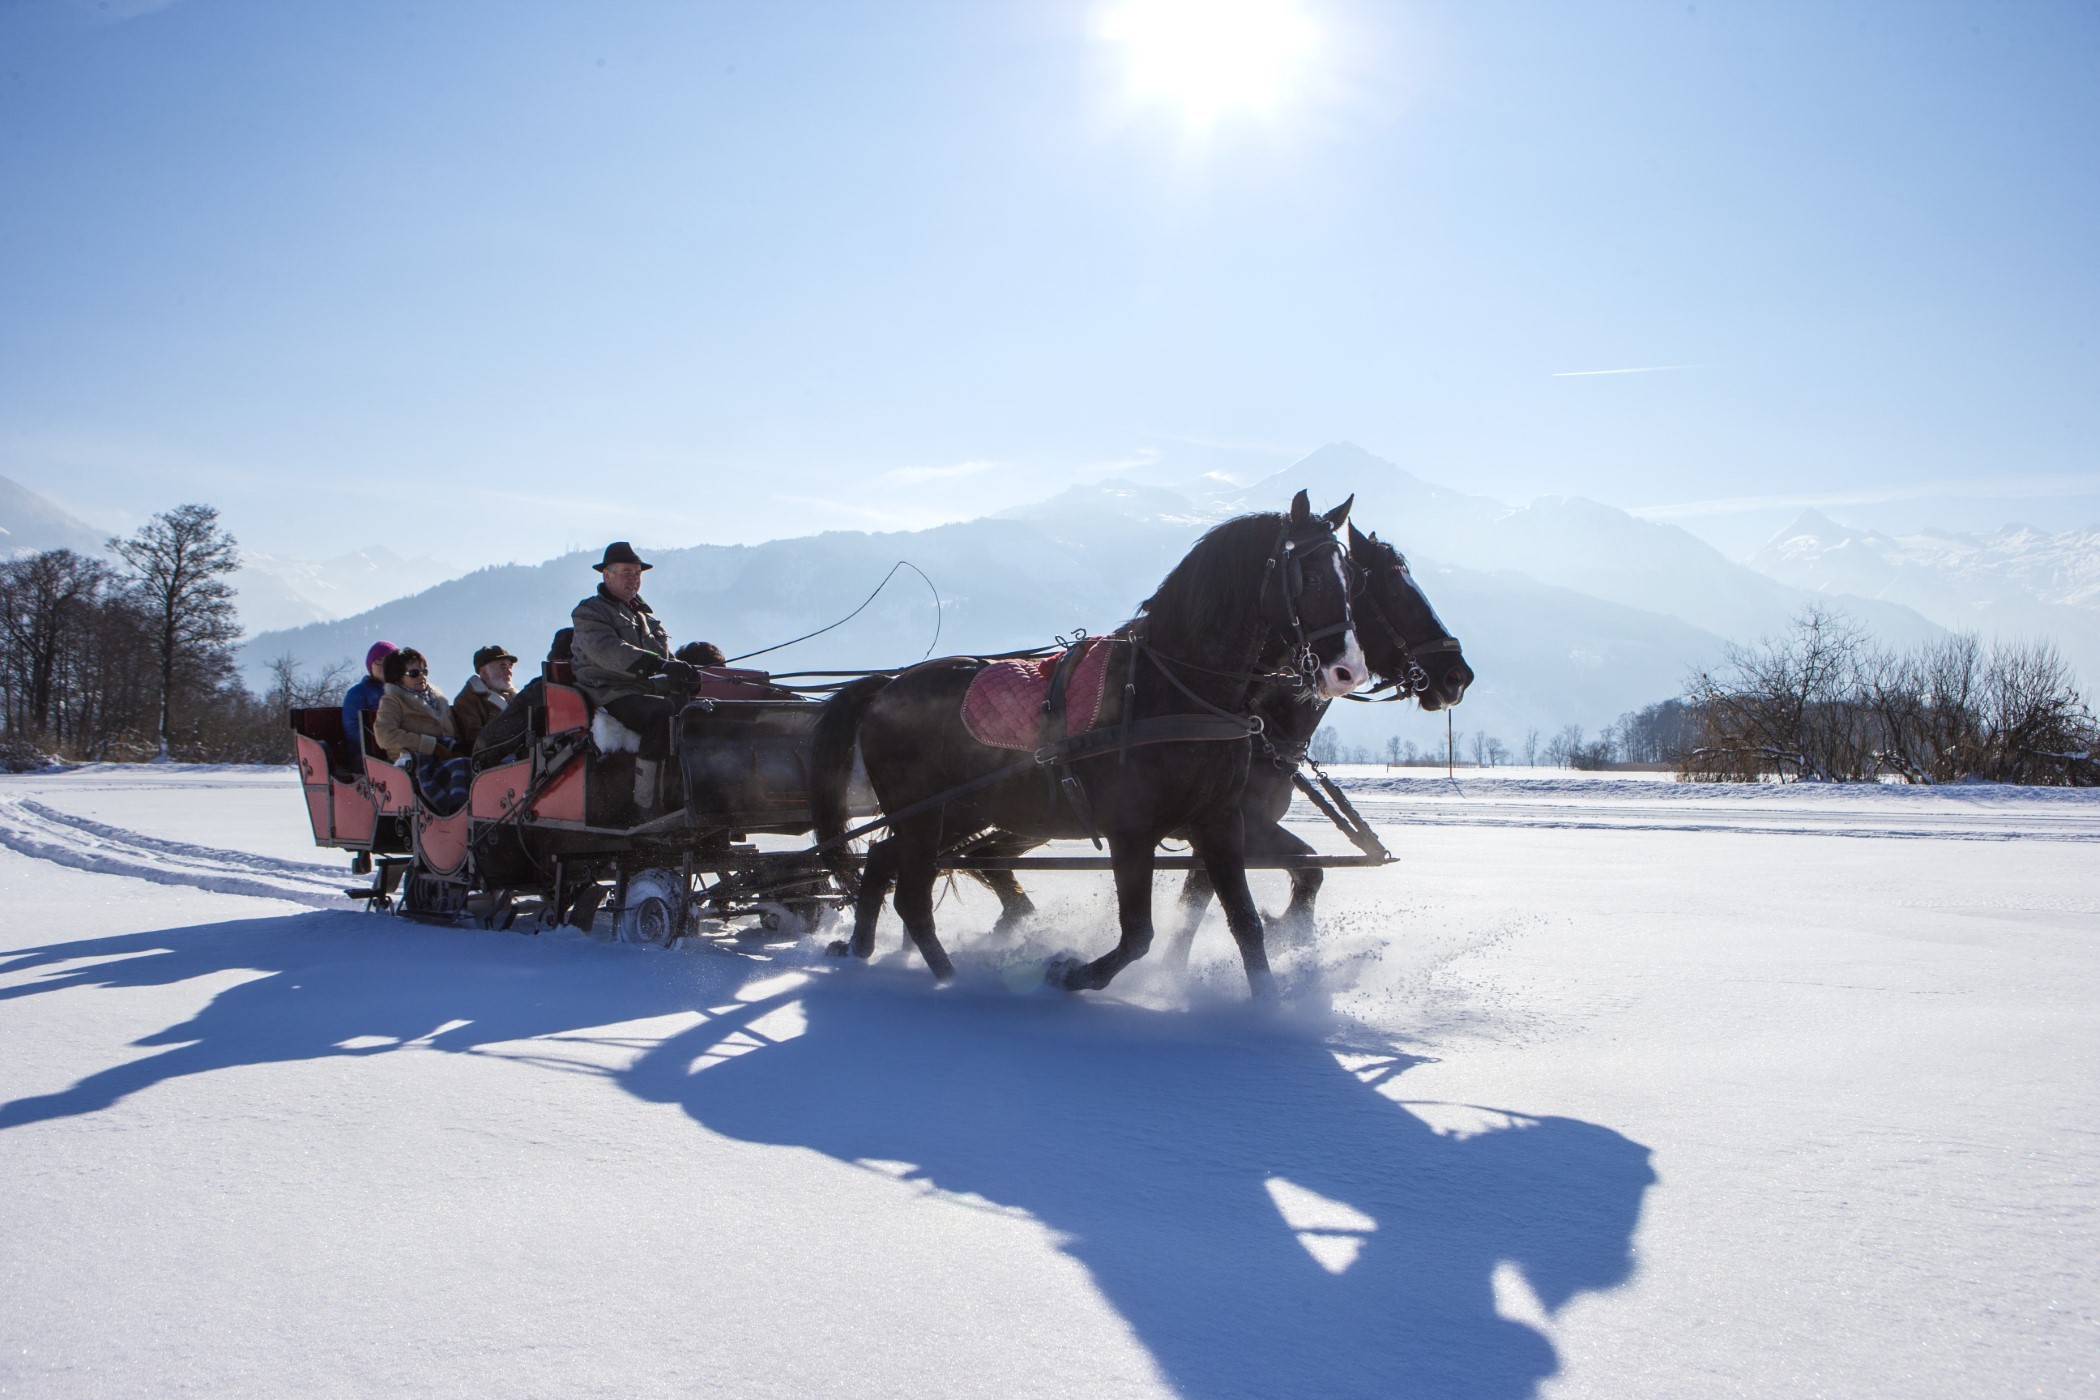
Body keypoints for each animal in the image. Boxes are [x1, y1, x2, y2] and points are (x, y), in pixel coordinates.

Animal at [802, 493, 1360, 994]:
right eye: (1309, 577)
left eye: (1350, 577)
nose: (1347, 670)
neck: (1174, 690)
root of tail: (889, 684)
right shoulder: (1131, 831)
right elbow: (1138, 935)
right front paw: (1071, 973)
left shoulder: (1220, 822)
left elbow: (1246, 924)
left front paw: (1268, 1006)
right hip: (923, 814)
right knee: (913, 899)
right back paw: (949, 979)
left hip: (954, 812)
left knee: (882, 862)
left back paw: (861, 948)